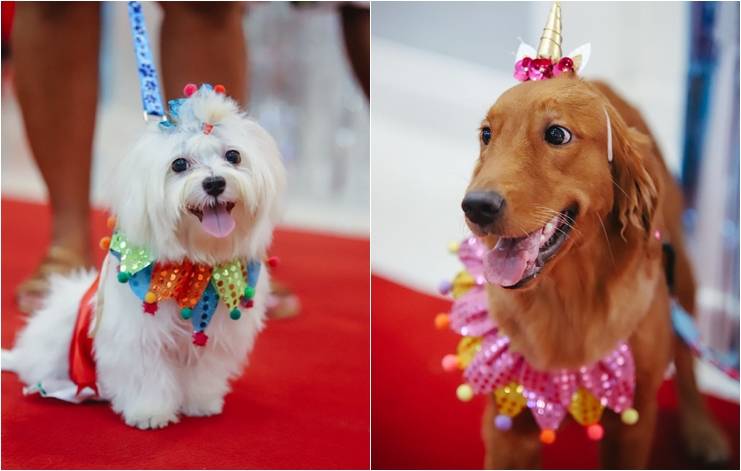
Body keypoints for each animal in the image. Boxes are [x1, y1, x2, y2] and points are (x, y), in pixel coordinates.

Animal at [2, 83, 286, 430]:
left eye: (233, 156)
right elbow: (147, 376)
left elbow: (203, 372)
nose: (215, 182)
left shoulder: (215, 337)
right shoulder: (137, 339)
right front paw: (150, 413)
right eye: (179, 164)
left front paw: (200, 403)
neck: (196, 265)